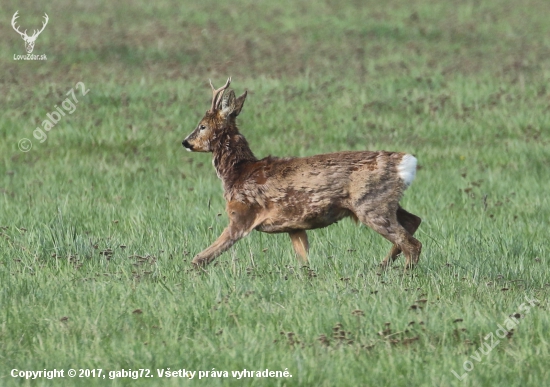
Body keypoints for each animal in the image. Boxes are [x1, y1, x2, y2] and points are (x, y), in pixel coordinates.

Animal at [182, 77, 422, 268]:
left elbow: (201, 257)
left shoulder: (242, 215)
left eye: (202, 126)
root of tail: (406, 162)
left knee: (412, 244)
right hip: (384, 203)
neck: (238, 173)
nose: (185, 142)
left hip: (371, 204)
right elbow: (305, 260)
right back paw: (381, 268)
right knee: (413, 221)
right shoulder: (294, 226)